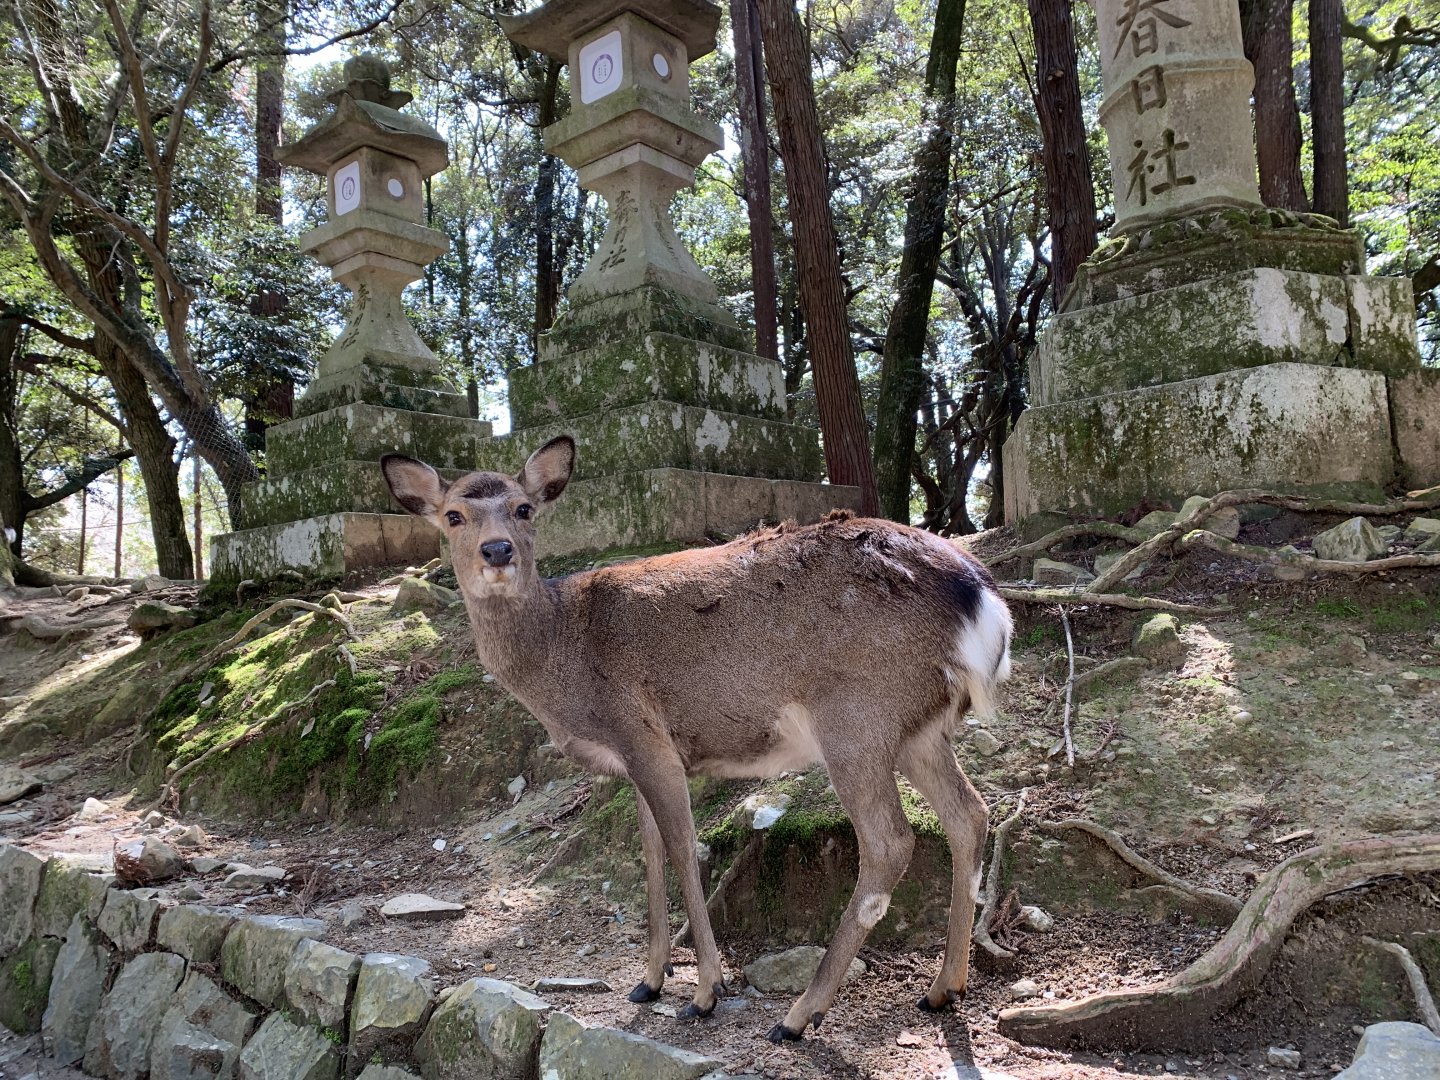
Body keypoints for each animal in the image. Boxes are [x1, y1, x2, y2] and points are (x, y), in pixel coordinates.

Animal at [381, 437, 1012, 1043]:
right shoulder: (634, 759)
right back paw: (943, 987)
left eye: (523, 508)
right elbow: (650, 851)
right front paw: (648, 981)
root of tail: (985, 601)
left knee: (890, 842)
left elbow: (685, 848)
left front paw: (705, 992)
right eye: (454, 515)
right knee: (970, 813)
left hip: (858, 716)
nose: (497, 551)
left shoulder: (645, 735)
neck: (562, 661)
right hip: (919, 728)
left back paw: (799, 1015)